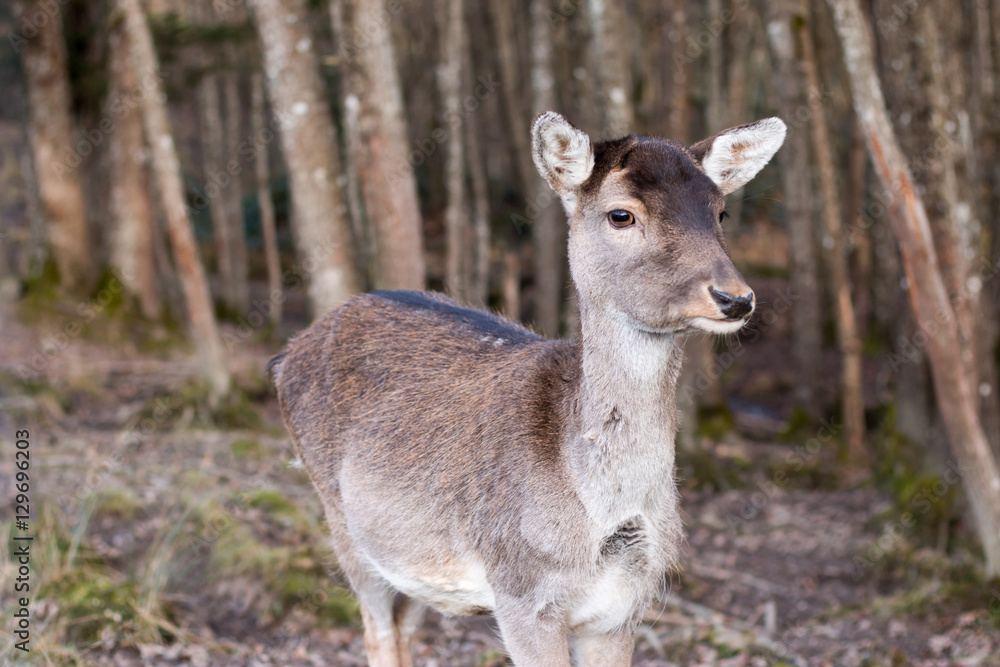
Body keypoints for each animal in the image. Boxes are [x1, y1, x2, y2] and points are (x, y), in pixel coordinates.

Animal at [270, 112, 784, 664]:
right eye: (621, 214)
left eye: (720, 212)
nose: (736, 298)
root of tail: (283, 356)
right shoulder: (521, 591)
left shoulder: (627, 603)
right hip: (344, 526)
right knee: (377, 632)